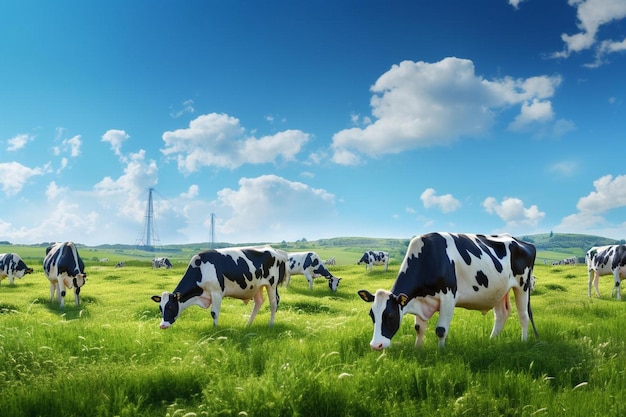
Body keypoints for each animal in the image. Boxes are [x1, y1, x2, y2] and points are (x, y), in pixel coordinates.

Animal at [151, 244, 288, 328]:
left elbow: (214, 313)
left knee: (273, 303)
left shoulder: (216, 292)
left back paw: (270, 325)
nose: (162, 325)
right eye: (160, 308)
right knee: (259, 302)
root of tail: (276, 250)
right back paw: (248, 325)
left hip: (271, 284)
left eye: (170, 306)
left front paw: (215, 329)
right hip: (256, 286)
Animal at [356, 232, 536, 350]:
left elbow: (441, 330)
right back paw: (491, 341)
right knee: (501, 315)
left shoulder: (449, 297)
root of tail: (520, 241)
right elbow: (419, 328)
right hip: (499, 290)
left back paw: (524, 341)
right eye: (372, 315)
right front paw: (418, 349)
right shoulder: (420, 299)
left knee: (523, 316)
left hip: (522, 285)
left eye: (391, 316)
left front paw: (440, 351)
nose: (376, 345)